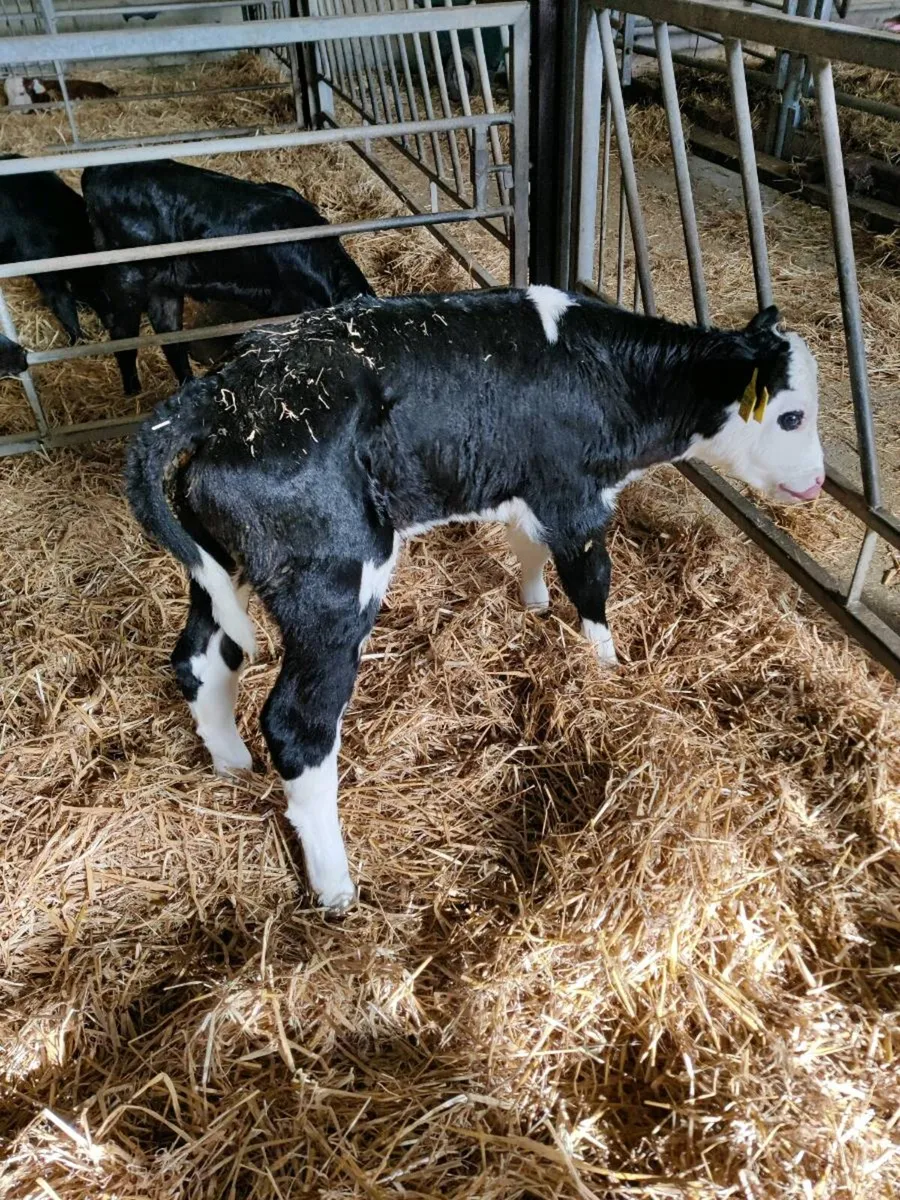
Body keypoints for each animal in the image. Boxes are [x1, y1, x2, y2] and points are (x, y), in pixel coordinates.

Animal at [81, 159, 374, 395]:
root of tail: (97, 171)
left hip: (164, 286)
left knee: (169, 337)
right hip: (127, 277)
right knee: (123, 336)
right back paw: (133, 393)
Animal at [126, 287, 824, 911]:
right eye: (790, 415)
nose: (818, 482)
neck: (608, 378)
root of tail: (222, 391)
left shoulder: (528, 490)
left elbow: (530, 550)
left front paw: (535, 606)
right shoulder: (573, 498)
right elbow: (592, 585)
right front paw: (608, 671)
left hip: (222, 562)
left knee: (201, 658)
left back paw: (231, 764)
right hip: (332, 583)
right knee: (299, 723)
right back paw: (336, 887)